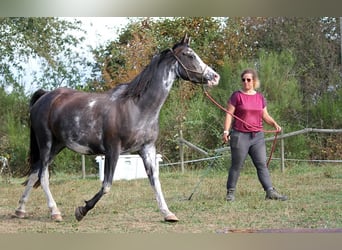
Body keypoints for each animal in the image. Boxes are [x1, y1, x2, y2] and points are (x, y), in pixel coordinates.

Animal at [14, 33, 220, 223]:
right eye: (189, 55)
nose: (214, 77)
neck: (137, 108)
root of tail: (45, 96)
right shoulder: (112, 150)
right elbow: (106, 185)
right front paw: (82, 211)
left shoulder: (147, 149)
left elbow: (155, 181)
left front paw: (168, 213)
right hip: (46, 143)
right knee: (43, 176)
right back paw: (54, 212)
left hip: (57, 145)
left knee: (34, 173)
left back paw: (20, 210)